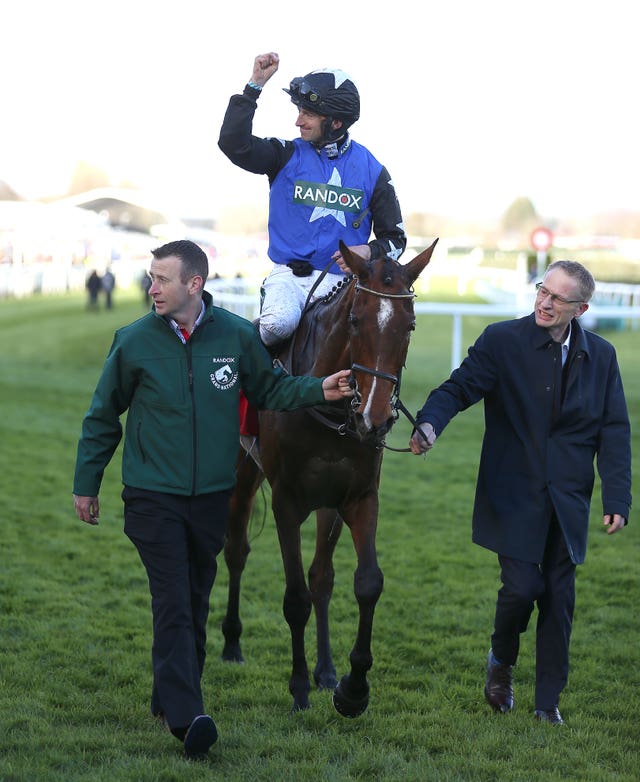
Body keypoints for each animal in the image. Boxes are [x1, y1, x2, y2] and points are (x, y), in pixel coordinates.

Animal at [222, 242, 438, 720]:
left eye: (410, 325)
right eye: (355, 320)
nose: (376, 418)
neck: (330, 406)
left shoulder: (357, 497)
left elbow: (364, 583)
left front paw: (351, 688)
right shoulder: (286, 503)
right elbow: (295, 597)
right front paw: (299, 687)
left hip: (327, 506)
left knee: (322, 577)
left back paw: (324, 670)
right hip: (243, 476)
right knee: (236, 552)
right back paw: (231, 643)